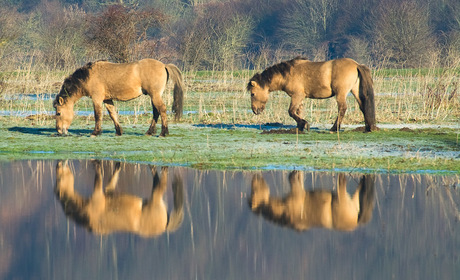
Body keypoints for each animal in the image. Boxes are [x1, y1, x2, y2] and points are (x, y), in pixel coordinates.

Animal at [53, 58, 184, 137]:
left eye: (58, 113)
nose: (59, 131)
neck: (89, 76)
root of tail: (164, 65)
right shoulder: (107, 100)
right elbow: (112, 114)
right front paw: (118, 131)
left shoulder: (97, 99)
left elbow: (97, 115)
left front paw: (95, 132)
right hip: (154, 96)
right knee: (156, 112)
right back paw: (149, 132)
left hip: (155, 96)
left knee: (162, 110)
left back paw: (163, 132)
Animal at [54, 161, 183, 237]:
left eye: (60, 179)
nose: (58, 165)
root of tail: (165, 227)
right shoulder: (107, 192)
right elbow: (113, 177)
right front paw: (118, 166)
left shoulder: (98, 193)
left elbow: (99, 176)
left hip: (155, 198)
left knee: (163, 183)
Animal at [248, 57, 378, 132]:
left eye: (252, 94)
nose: (255, 110)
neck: (288, 74)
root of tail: (356, 65)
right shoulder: (299, 98)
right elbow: (298, 112)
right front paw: (299, 127)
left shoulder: (297, 96)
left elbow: (291, 111)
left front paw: (304, 124)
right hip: (355, 90)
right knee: (363, 106)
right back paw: (368, 127)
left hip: (341, 93)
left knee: (342, 108)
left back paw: (334, 128)